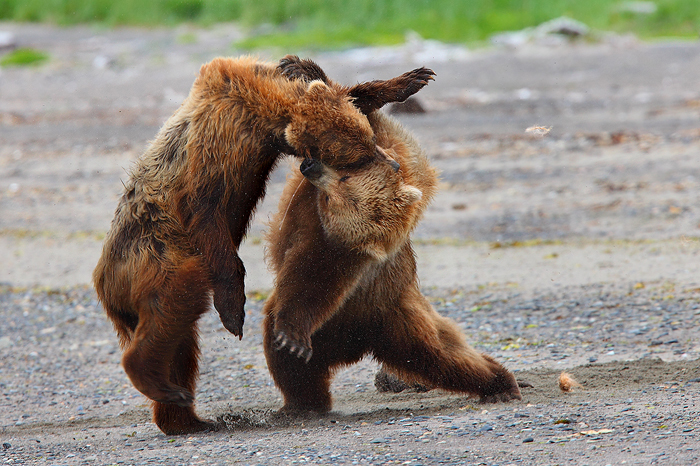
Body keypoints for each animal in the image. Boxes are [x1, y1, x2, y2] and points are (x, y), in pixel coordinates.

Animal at [92, 55, 435, 435]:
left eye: (370, 140)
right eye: (357, 158)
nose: (393, 161)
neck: (261, 106)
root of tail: (106, 287)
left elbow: (348, 94)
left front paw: (412, 79)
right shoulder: (218, 144)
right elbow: (205, 209)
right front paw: (233, 309)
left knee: (180, 346)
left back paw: (186, 415)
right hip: (159, 254)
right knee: (175, 301)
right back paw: (155, 378)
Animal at [263, 64, 522, 412]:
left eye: (341, 186)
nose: (310, 167)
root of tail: (358, 341)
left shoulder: (338, 251)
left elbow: (311, 281)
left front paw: (292, 338)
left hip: (391, 315)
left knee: (441, 356)